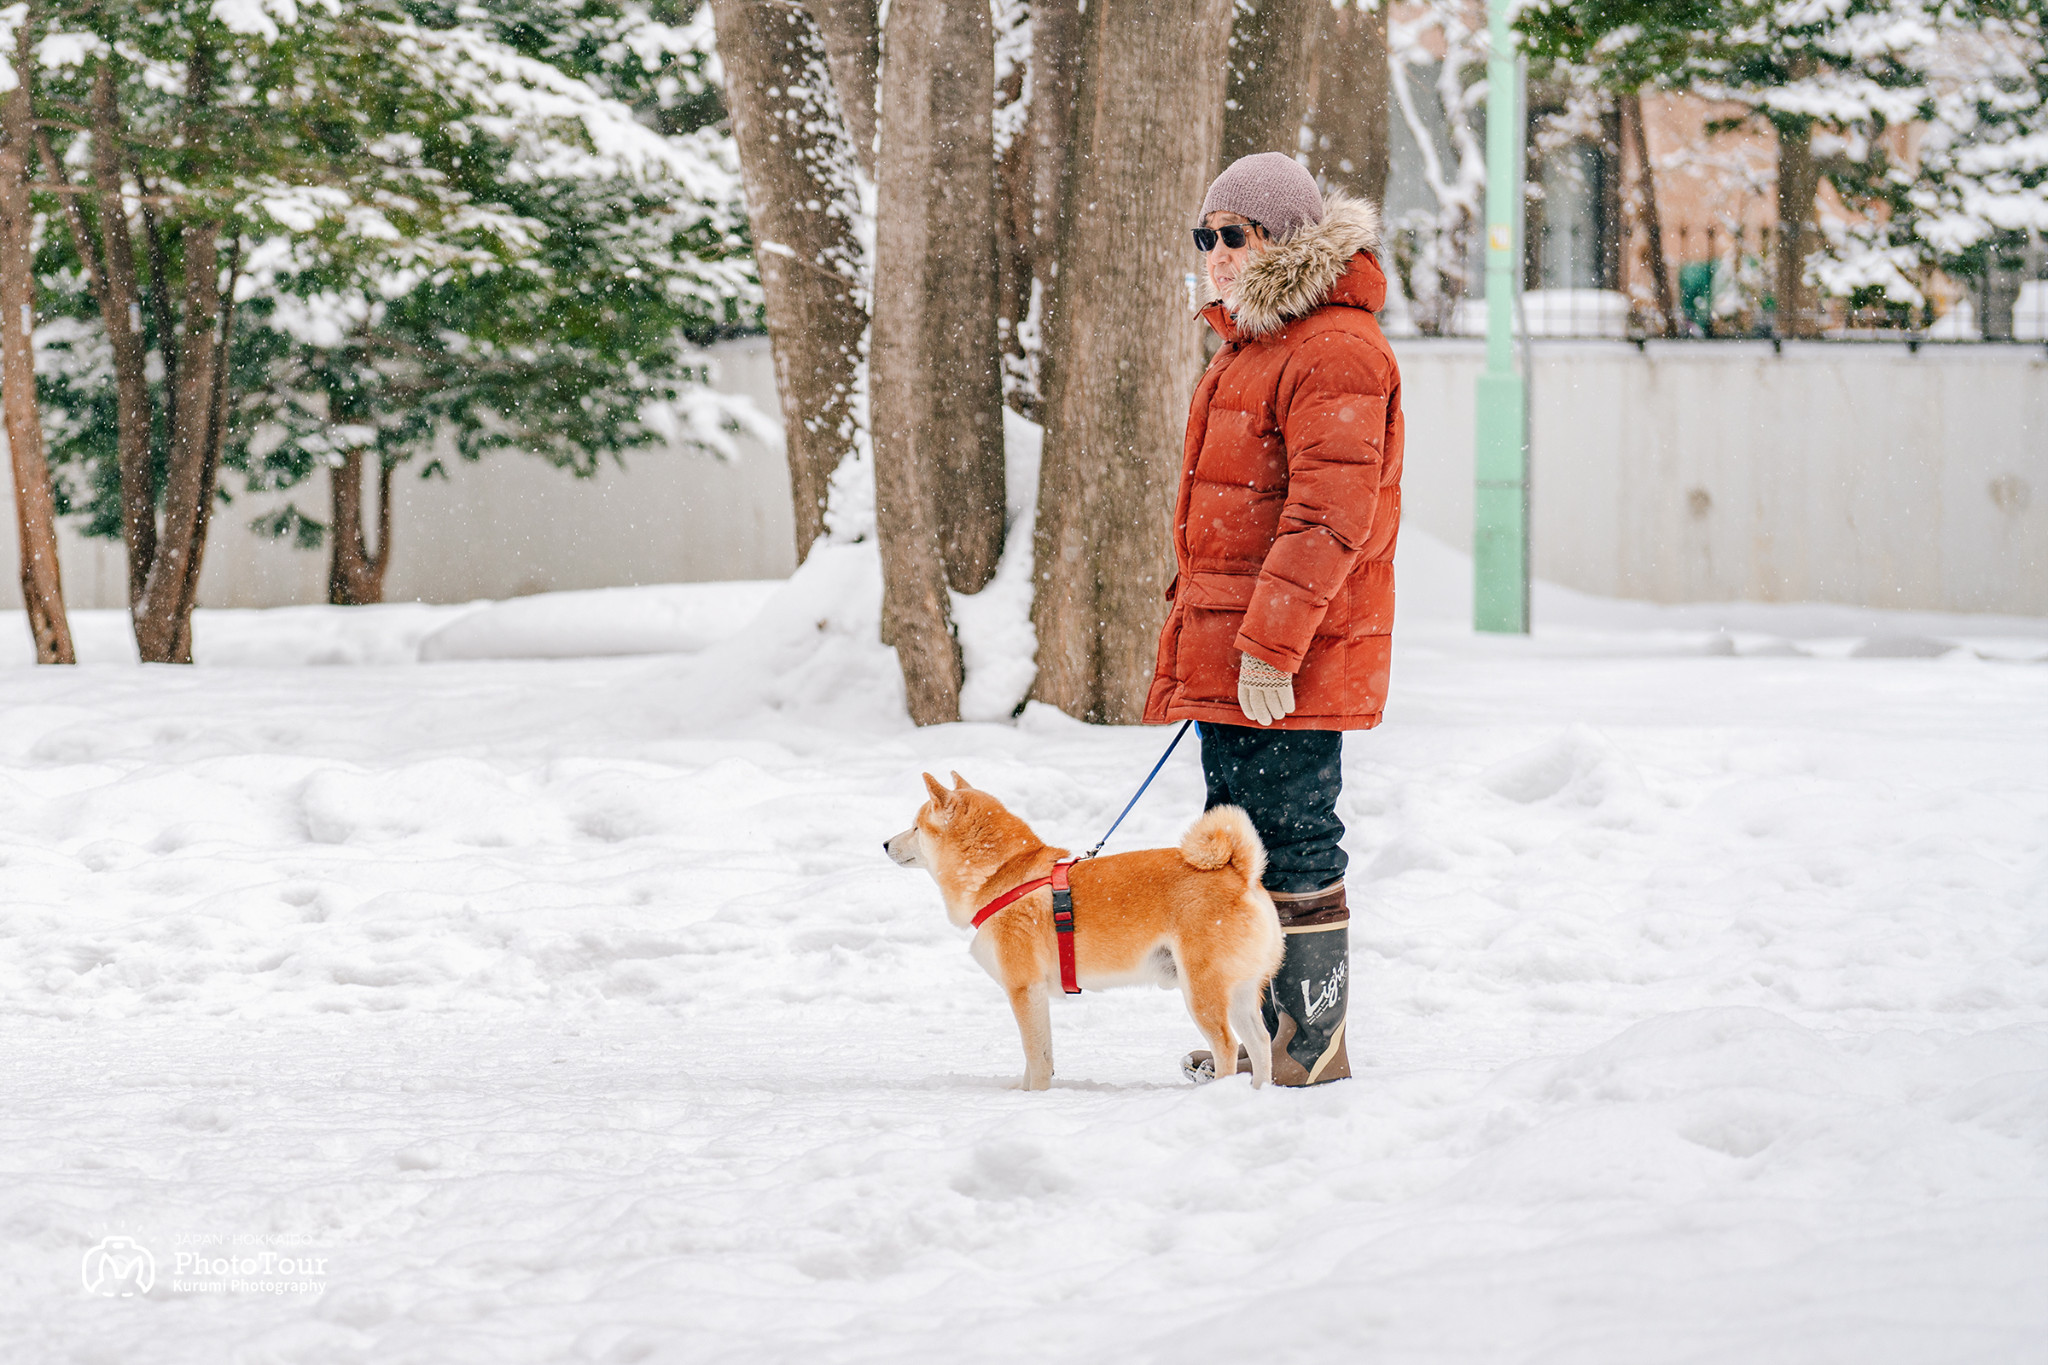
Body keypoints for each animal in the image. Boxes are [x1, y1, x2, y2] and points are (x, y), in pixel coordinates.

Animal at [884, 777, 1277, 1088]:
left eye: (916, 827)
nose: (885, 844)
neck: (1002, 876)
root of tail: (1240, 873)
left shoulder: (1023, 989)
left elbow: (1037, 1058)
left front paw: (1036, 1098)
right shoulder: (1033, 996)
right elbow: (1036, 1057)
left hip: (1202, 992)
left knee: (1226, 1046)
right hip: (1240, 994)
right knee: (1261, 1043)